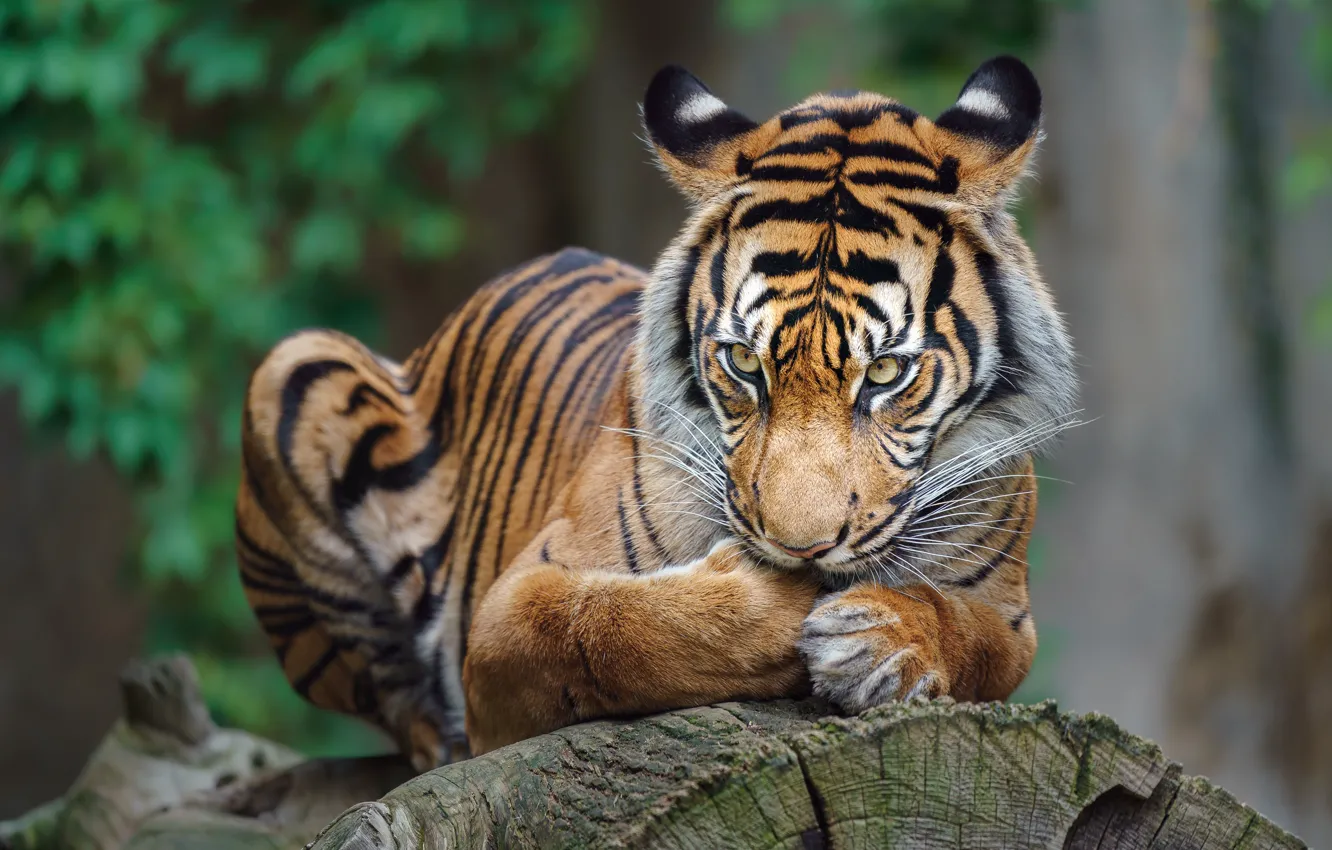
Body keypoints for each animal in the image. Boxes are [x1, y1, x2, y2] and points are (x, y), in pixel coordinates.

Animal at [235, 55, 1077, 768]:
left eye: (886, 372)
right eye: (744, 362)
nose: (801, 549)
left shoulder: (1010, 611)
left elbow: (974, 636)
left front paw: (885, 637)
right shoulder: (514, 603)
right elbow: (604, 624)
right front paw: (771, 604)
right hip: (297, 365)